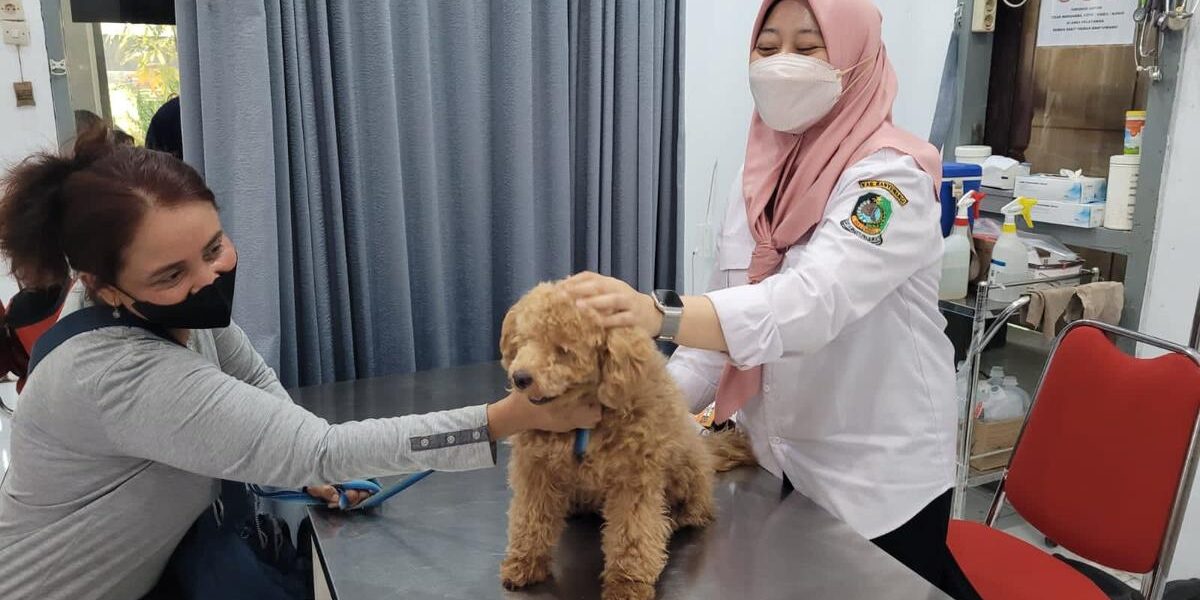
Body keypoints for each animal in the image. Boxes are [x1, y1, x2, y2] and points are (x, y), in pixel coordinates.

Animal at [498, 282, 755, 600]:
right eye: (524, 341)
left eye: (564, 351)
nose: (520, 377)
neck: (584, 424)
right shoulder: (537, 469)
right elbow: (530, 517)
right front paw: (525, 562)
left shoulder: (633, 479)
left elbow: (632, 533)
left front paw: (626, 582)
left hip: (686, 470)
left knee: (697, 509)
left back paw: (676, 517)